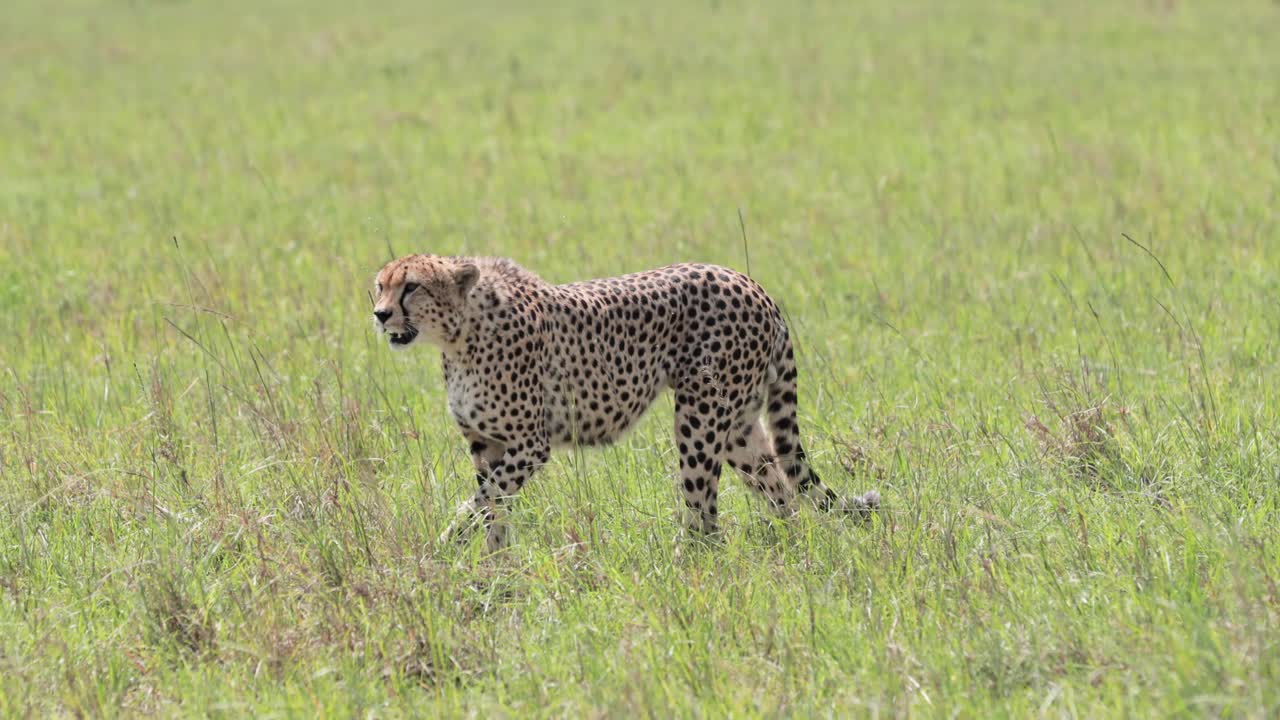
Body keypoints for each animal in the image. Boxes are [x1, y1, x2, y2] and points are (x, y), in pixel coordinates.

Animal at [372, 254, 880, 550]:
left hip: (700, 418)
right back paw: (789, 552)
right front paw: (492, 568)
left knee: (705, 514)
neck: (459, 335)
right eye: (379, 285)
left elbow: (479, 503)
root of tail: (752, 284)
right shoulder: (487, 444)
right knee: (781, 493)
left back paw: (685, 570)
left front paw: (447, 549)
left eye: (412, 286)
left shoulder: (530, 445)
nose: (379, 314)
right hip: (738, 428)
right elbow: (493, 508)